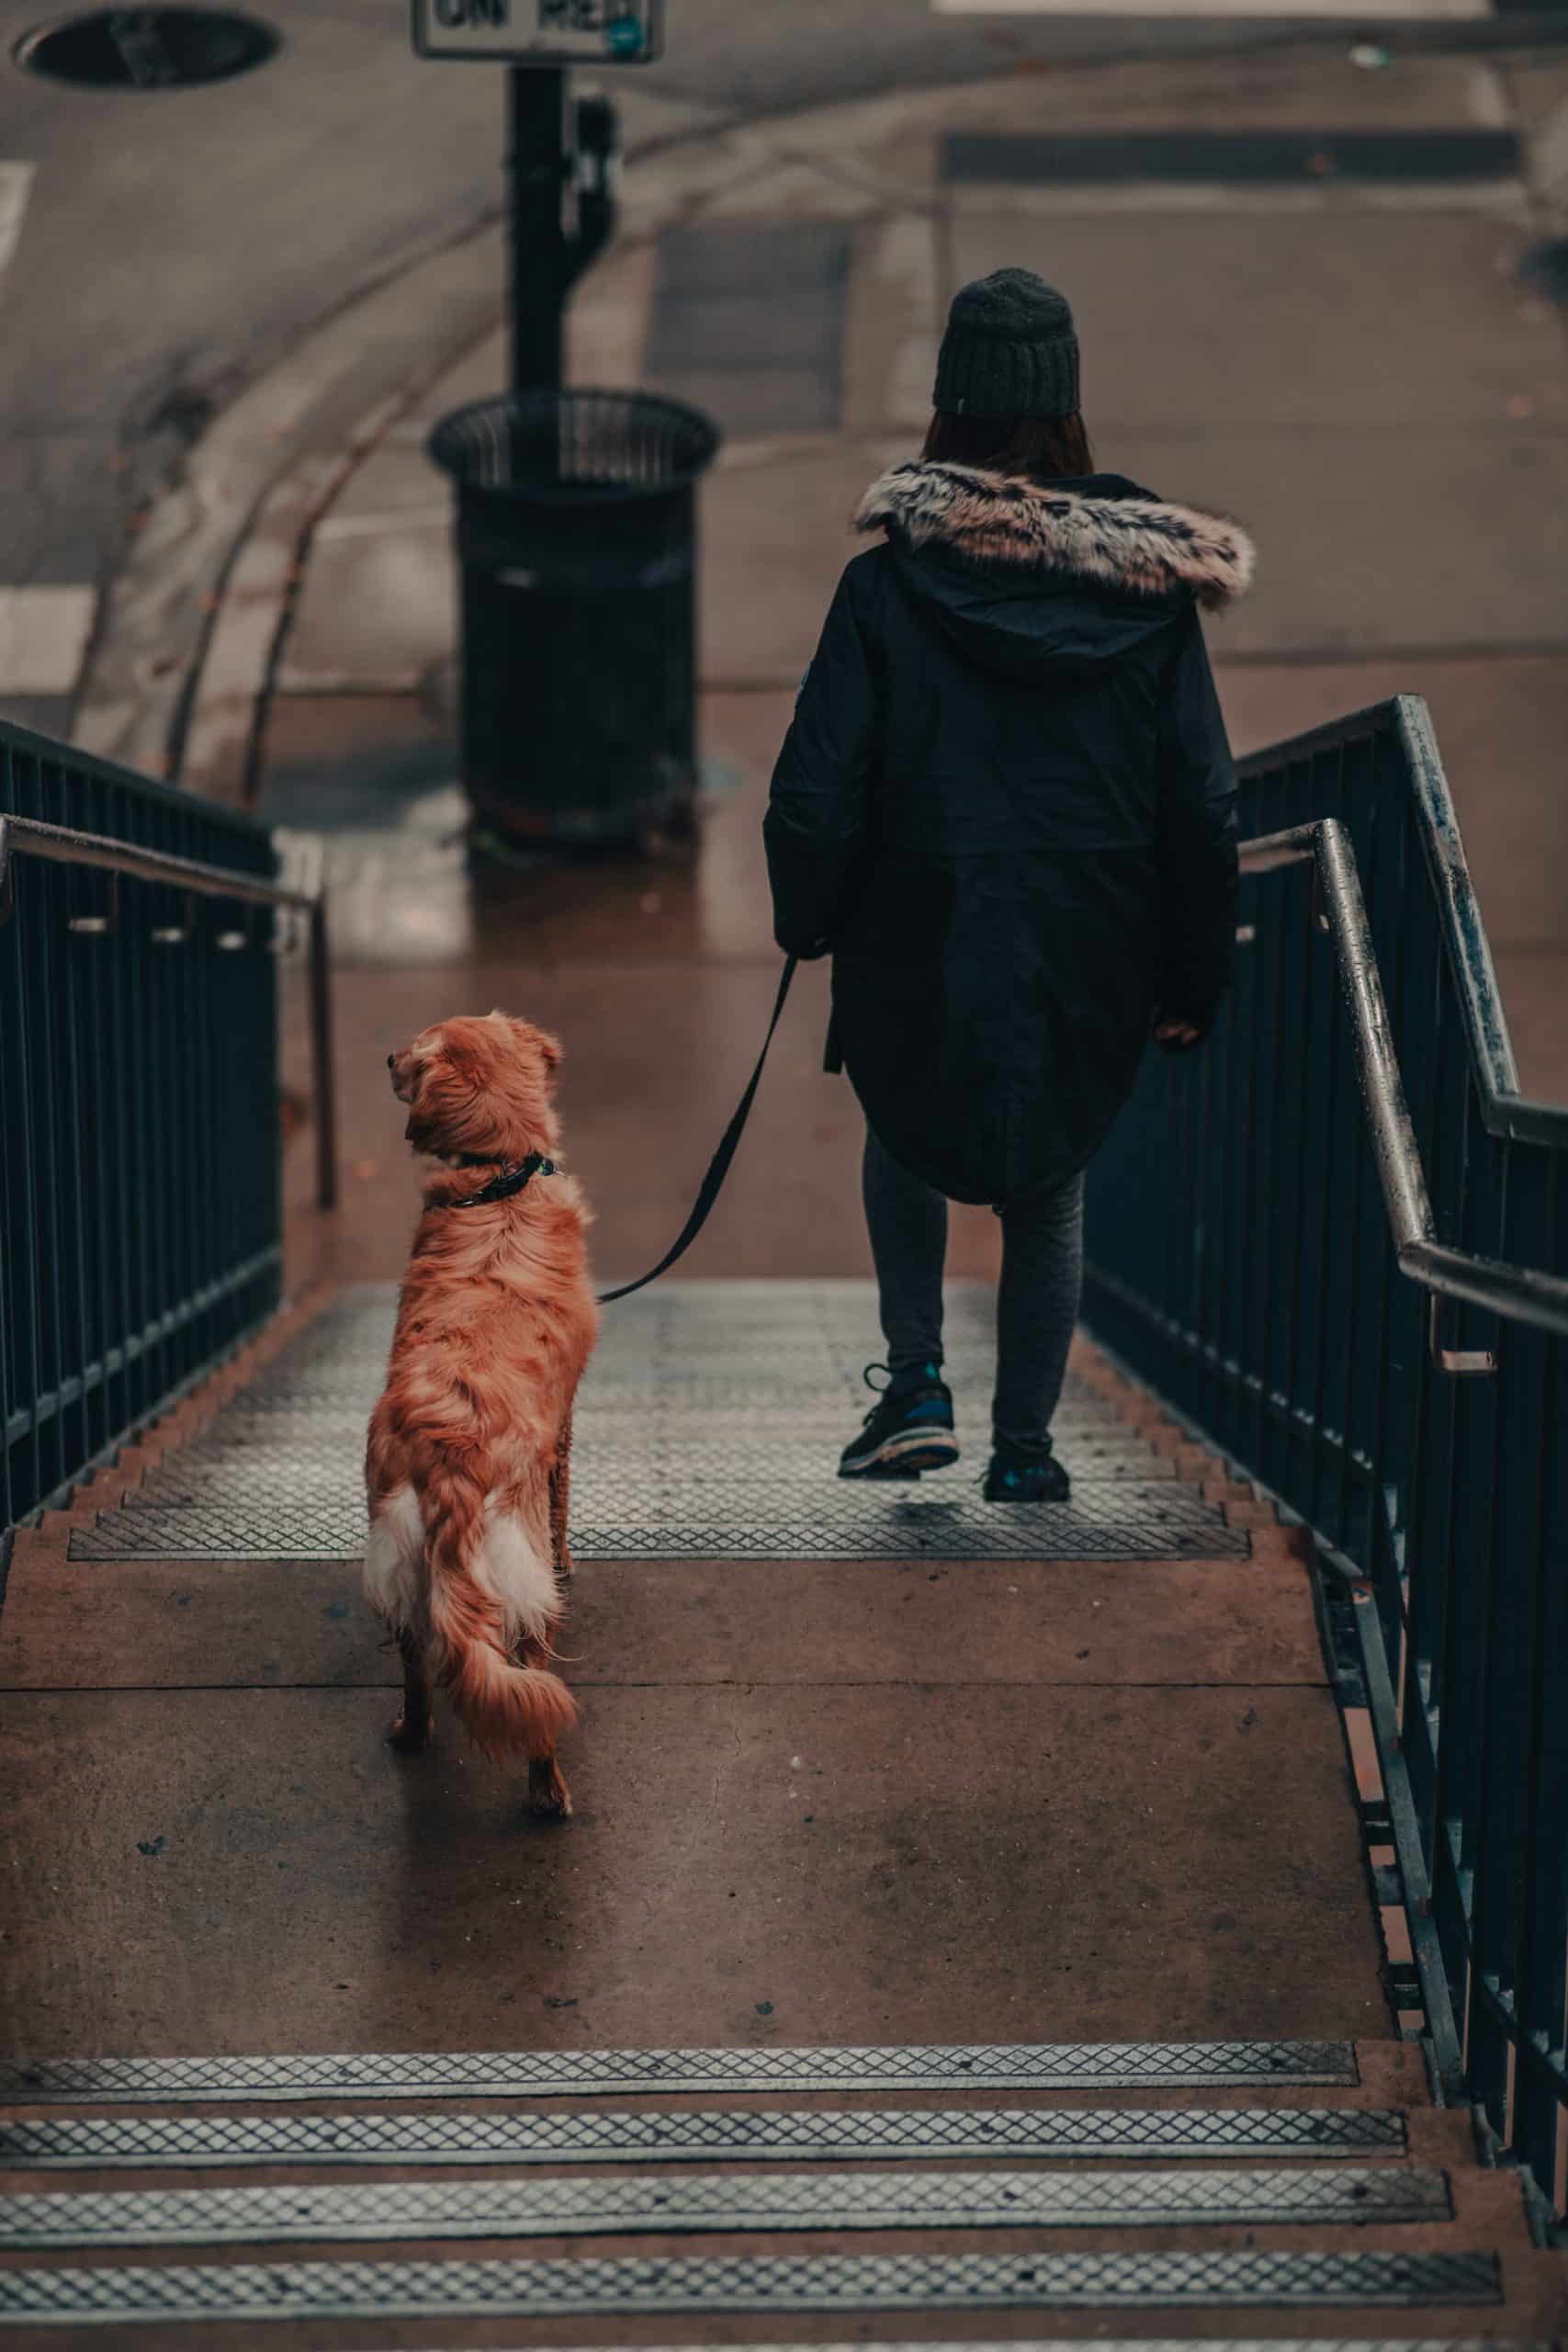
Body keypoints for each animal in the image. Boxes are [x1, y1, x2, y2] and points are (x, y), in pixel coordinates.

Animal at [364, 1011, 597, 1815]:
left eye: (415, 1050)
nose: (388, 1056)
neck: (501, 1180)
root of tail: (450, 1456)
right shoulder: (563, 1429)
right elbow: (563, 1508)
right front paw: (570, 1560)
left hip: (402, 1561)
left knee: (416, 1662)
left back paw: (411, 1733)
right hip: (516, 1571)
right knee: (531, 1671)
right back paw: (548, 1791)